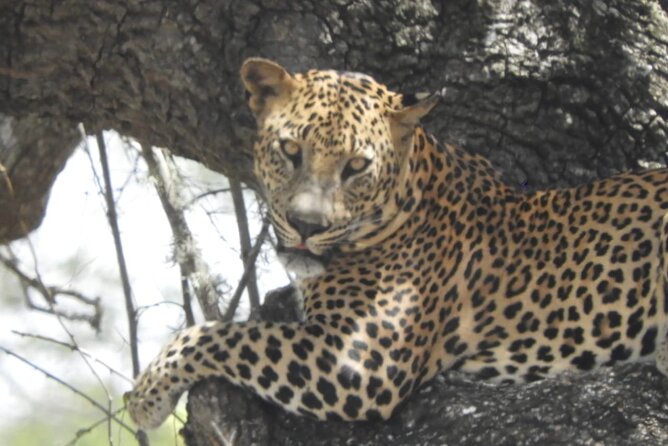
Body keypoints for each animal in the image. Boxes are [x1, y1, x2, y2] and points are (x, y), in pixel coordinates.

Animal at [125, 58, 668, 429]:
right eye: (290, 150)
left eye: (356, 167)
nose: (305, 224)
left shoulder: (358, 361)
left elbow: (220, 334)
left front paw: (147, 395)